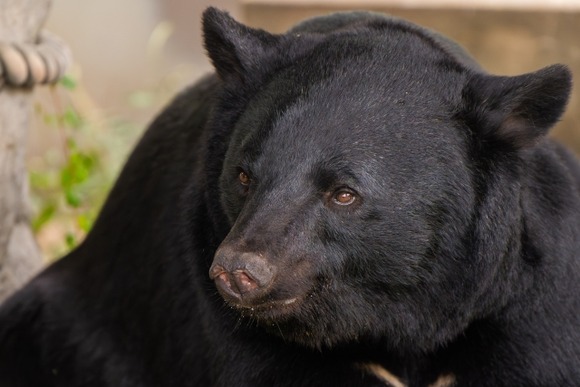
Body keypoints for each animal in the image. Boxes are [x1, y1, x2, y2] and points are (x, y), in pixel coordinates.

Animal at [1, 6, 580, 387]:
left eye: (344, 194)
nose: (238, 272)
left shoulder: (530, 299)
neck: (398, 316)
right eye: (243, 176)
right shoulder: (215, 291)